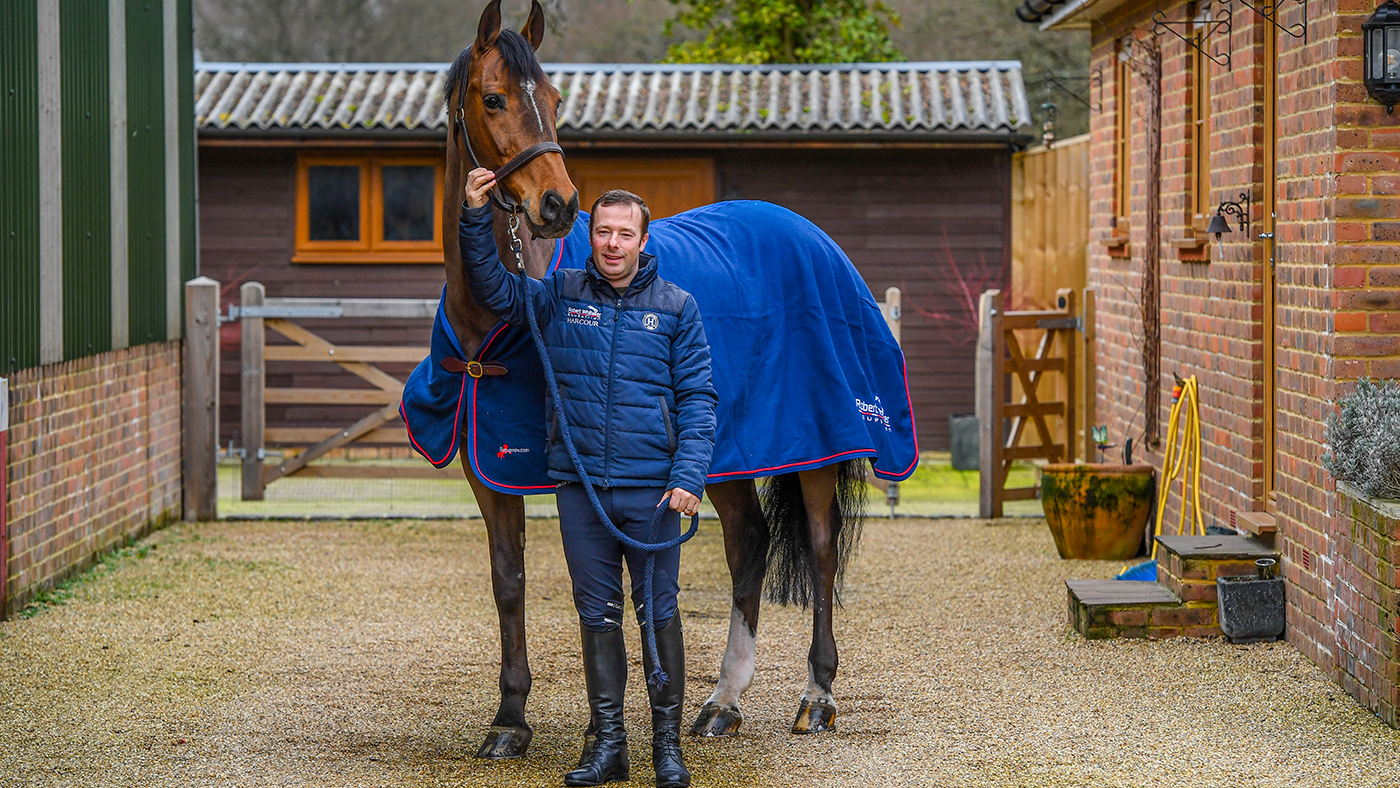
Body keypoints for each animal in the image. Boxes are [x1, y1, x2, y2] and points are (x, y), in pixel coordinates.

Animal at [433, 0, 913, 759]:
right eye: (493, 98)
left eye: (555, 99)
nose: (556, 205)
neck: (500, 308)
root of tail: (813, 236)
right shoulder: (491, 471)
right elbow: (510, 583)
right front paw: (509, 720)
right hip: (724, 456)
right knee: (749, 544)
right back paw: (722, 701)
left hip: (817, 443)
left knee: (821, 547)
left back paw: (816, 696)